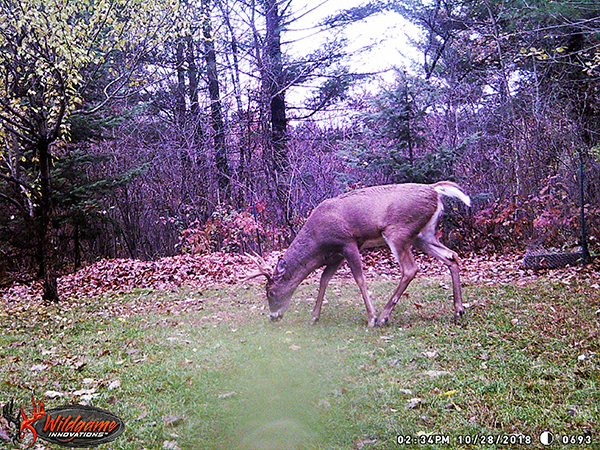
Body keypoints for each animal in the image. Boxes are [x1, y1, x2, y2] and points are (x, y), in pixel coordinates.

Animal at [246, 181, 472, 326]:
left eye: (271, 292)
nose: (273, 316)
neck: (318, 242)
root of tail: (434, 190)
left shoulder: (348, 242)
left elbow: (360, 278)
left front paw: (371, 317)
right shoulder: (336, 255)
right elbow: (324, 279)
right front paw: (314, 317)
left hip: (398, 231)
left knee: (410, 269)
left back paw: (383, 317)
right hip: (423, 235)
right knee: (451, 256)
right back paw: (458, 310)